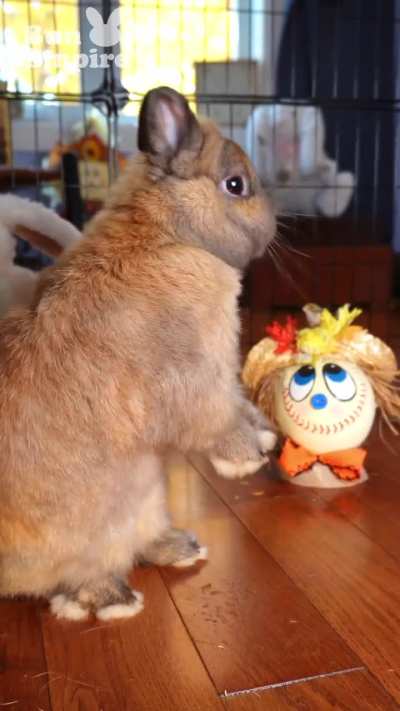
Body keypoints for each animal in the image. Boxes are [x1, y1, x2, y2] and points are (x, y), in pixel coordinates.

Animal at [0, 87, 276, 621]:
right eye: (236, 185)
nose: (274, 223)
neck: (169, 235)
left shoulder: (221, 376)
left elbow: (240, 405)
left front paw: (266, 432)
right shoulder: (196, 381)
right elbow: (217, 420)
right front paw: (250, 459)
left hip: (147, 494)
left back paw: (180, 548)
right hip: (81, 534)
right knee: (76, 577)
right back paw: (113, 601)